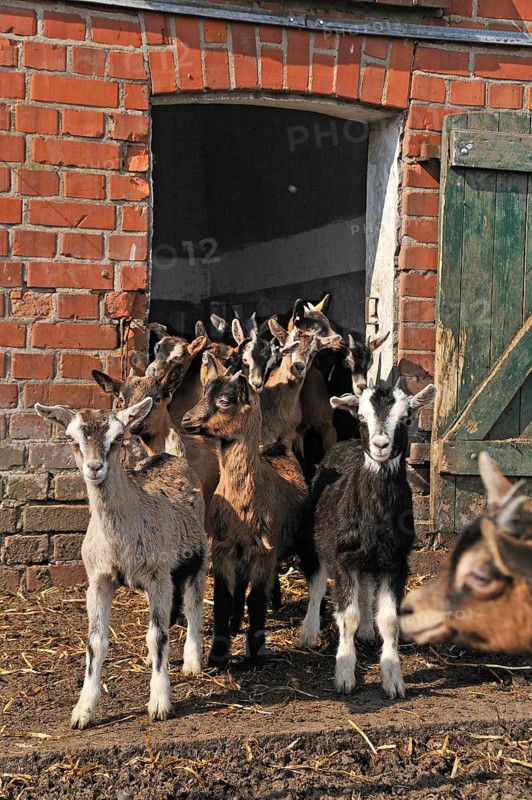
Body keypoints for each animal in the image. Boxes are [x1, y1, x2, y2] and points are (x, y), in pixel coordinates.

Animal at [35, 398, 208, 728]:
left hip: (198, 557)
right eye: (71, 437)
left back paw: (193, 661)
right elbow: (96, 642)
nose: (94, 468)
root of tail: (172, 455)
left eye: (118, 437)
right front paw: (83, 711)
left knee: (193, 604)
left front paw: (160, 703)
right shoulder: (98, 580)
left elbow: (158, 635)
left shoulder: (158, 576)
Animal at [181, 359, 308, 668]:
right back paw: (236, 622)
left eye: (224, 401)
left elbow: (257, 599)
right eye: (204, 393)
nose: (186, 420)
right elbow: (224, 598)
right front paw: (218, 652)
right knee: (239, 589)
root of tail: (274, 445)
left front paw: (256, 651)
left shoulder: (264, 551)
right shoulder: (223, 549)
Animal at [299, 382, 436, 698]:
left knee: (365, 586)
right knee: (317, 583)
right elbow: (345, 616)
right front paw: (344, 675)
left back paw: (366, 631)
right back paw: (309, 633)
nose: (380, 444)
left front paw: (394, 679)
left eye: (406, 418)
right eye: (361, 417)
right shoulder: (342, 557)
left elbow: (389, 619)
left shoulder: (396, 562)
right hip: (315, 539)